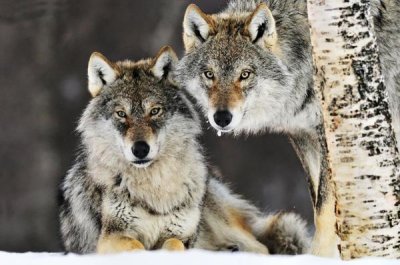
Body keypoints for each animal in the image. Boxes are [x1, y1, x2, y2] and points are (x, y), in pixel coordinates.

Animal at [177, 0, 400, 256]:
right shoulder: (303, 135)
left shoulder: (328, 135)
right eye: (209, 75)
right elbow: (316, 200)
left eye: (245, 74)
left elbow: (324, 209)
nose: (222, 117)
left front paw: (320, 256)